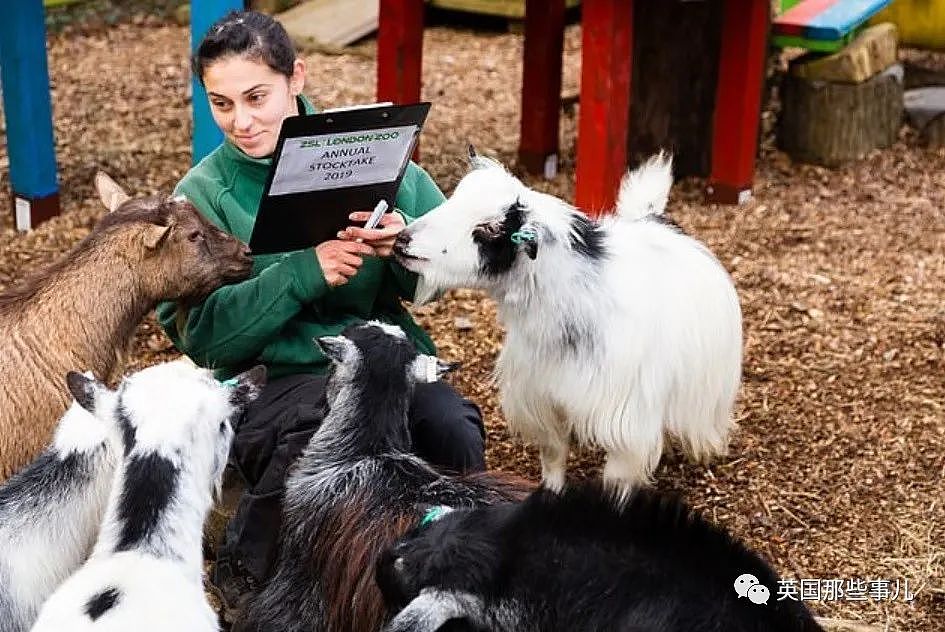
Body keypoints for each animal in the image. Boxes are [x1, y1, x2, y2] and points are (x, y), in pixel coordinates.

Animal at [394, 151, 740, 492]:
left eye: (491, 228)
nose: (401, 240)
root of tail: (655, 219)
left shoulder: (624, 425)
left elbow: (615, 481)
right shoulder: (543, 401)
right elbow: (553, 456)